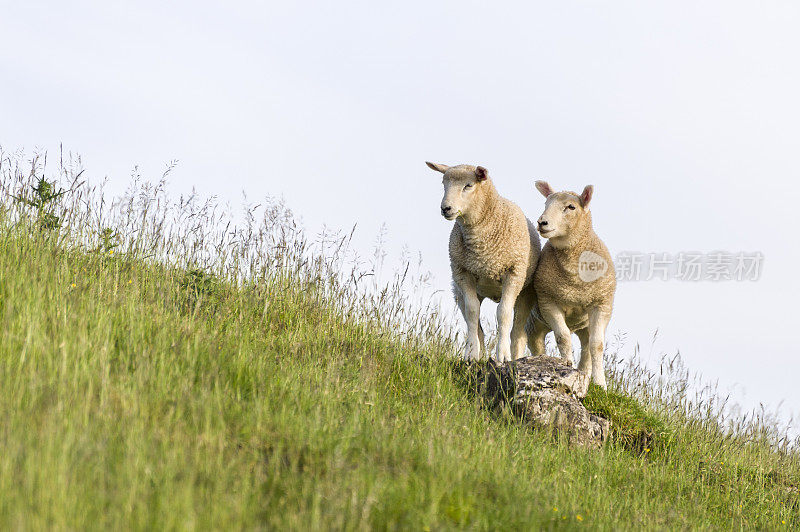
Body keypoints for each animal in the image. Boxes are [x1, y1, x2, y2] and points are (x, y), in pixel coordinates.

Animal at [422, 162, 540, 362]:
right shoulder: (463, 273)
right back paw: (479, 354)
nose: (446, 208)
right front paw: (471, 354)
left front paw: (503, 356)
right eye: (444, 184)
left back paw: (515, 357)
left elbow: (503, 314)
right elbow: (472, 312)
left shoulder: (514, 273)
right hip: (459, 292)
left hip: (525, 293)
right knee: (479, 328)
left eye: (468, 185)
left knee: (517, 332)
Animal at [528, 181, 616, 388]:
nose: (542, 222)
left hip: (584, 325)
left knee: (586, 346)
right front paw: (566, 365)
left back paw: (584, 373)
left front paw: (601, 384)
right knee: (529, 341)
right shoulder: (548, 302)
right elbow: (563, 337)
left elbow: (597, 345)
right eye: (546, 203)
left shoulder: (602, 304)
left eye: (571, 207)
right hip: (534, 321)